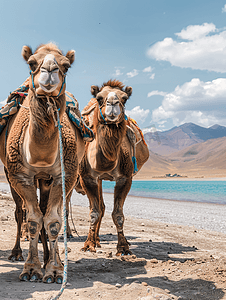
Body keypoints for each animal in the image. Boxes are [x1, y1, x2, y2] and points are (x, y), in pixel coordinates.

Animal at [0, 42, 85, 284]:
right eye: (31, 63)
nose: (49, 70)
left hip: (50, 180)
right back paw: (17, 253)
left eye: (66, 66)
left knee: (49, 212)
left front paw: (54, 271)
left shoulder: (64, 175)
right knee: (20, 213)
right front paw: (31, 270)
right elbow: (33, 220)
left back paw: (51, 260)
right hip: (12, 176)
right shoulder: (20, 176)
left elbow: (53, 222)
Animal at [78, 79, 149, 255]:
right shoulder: (87, 177)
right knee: (98, 207)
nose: (112, 103)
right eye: (99, 98)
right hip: (96, 179)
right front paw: (88, 245)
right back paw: (94, 241)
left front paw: (123, 247)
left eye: (124, 98)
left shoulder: (125, 178)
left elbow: (118, 214)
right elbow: (93, 212)